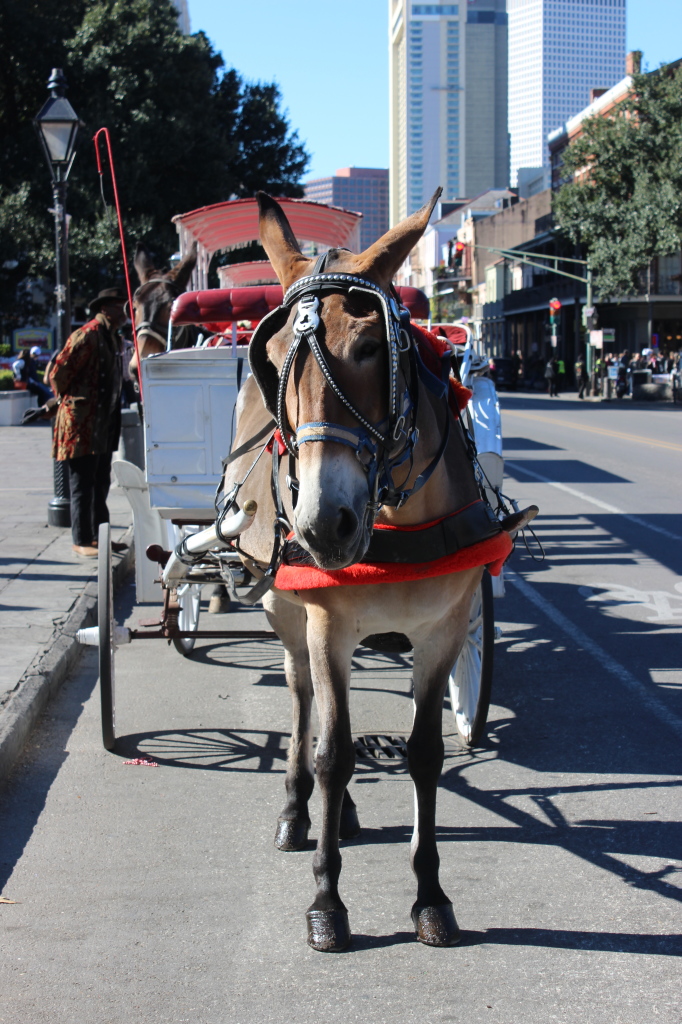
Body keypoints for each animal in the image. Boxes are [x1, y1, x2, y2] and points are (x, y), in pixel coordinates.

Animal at [222, 190, 524, 950]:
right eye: (272, 357)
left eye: (369, 347)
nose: (321, 524)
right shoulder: (328, 624)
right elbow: (332, 752)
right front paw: (327, 900)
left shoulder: (443, 629)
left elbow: (423, 754)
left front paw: (430, 895)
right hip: (286, 612)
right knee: (306, 703)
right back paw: (300, 810)